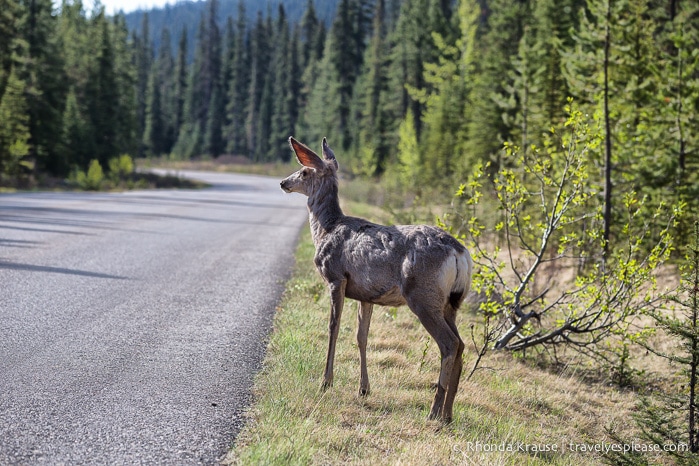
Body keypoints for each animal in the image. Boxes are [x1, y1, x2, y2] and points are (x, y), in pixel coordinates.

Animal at [282, 136, 474, 422]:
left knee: (449, 344)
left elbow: (333, 327)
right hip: (452, 302)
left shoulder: (336, 278)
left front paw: (326, 382)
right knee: (461, 344)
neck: (326, 229)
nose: (283, 182)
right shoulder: (367, 294)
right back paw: (448, 414)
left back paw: (434, 411)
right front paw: (364, 388)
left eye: (304, 171)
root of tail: (460, 253)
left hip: (423, 295)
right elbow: (362, 336)